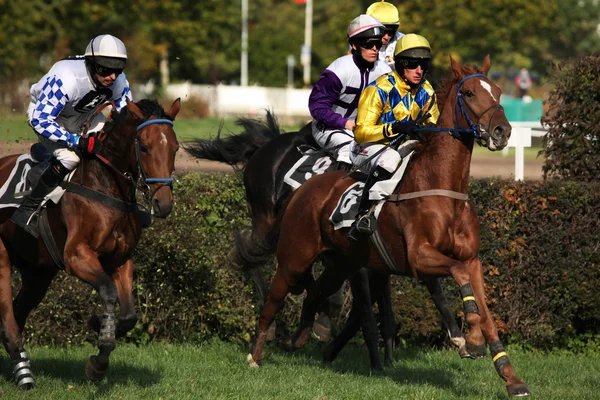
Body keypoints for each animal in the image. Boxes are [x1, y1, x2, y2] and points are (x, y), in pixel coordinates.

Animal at [0, 97, 180, 388]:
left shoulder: (120, 260)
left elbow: (129, 316)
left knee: (18, 312)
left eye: (176, 148)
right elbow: (108, 291)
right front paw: (98, 361)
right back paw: (24, 373)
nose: (162, 203)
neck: (105, 185)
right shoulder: (77, 256)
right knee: (8, 317)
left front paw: (99, 326)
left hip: (38, 273)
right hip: (3, 259)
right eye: (144, 147)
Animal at [250, 56, 536, 396]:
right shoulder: (418, 258)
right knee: (273, 300)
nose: (502, 131)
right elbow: (458, 275)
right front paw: (473, 340)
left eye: (497, 91)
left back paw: (301, 337)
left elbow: (485, 309)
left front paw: (511, 377)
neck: (442, 188)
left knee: (316, 292)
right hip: (294, 257)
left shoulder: (472, 259)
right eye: (468, 93)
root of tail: (304, 189)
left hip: (341, 264)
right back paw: (256, 354)